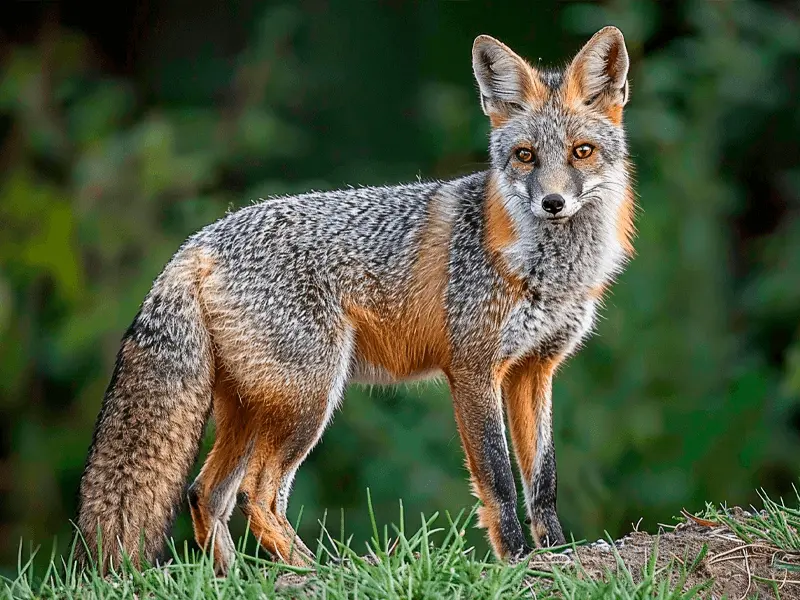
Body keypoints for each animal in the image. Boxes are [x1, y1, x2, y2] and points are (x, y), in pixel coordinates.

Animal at [75, 26, 635, 574]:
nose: (553, 203)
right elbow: (498, 481)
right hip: (309, 400)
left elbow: (544, 481)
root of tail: (200, 241)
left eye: (582, 151)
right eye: (525, 156)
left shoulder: (533, 370)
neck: (545, 269)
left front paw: (558, 555)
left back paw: (237, 579)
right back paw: (319, 573)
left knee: (205, 493)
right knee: (258, 495)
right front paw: (518, 562)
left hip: (255, 410)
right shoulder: (474, 370)